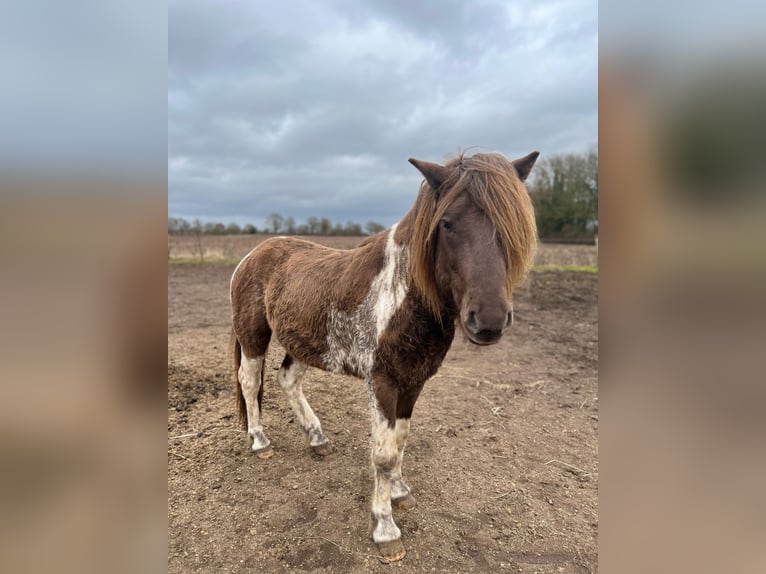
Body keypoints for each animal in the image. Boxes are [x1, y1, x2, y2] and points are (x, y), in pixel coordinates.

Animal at [230, 150, 539, 562]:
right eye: (447, 223)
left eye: (513, 225)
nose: (488, 321)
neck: (401, 298)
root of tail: (254, 253)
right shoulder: (382, 382)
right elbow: (383, 453)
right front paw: (385, 527)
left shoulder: (414, 381)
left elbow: (400, 440)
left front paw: (399, 491)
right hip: (253, 335)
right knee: (250, 382)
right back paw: (260, 440)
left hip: (302, 341)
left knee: (288, 380)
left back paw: (317, 438)